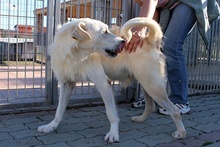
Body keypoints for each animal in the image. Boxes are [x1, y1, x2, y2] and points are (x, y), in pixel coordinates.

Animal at [37, 17, 186, 142]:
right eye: (104, 32)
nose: (123, 42)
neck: (75, 54)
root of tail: (149, 40)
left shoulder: (104, 84)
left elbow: (111, 114)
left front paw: (113, 134)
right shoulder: (66, 84)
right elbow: (59, 110)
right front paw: (51, 126)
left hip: (153, 86)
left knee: (174, 110)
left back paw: (181, 132)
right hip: (146, 84)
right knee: (150, 106)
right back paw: (141, 119)